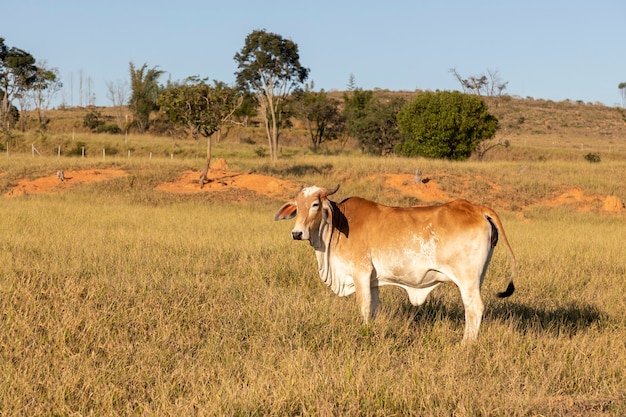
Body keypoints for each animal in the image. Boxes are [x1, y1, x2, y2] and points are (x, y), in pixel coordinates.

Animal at [276, 185, 516, 342]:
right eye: (297, 206)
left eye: (315, 204)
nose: (296, 233)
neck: (339, 223)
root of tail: (476, 208)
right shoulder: (373, 280)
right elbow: (373, 307)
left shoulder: (361, 273)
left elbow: (364, 306)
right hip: (477, 279)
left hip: (466, 279)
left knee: (474, 308)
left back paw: (466, 344)